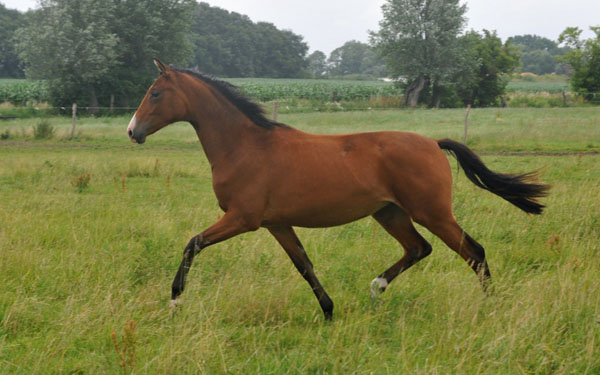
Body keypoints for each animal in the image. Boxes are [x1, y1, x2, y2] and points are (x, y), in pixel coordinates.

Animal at [126, 58, 548, 320]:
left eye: (156, 93)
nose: (132, 131)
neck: (246, 146)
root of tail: (433, 143)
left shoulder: (242, 218)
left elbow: (192, 244)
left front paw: (175, 302)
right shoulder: (276, 224)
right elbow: (304, 265)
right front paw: (329, 311)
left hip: (433, 212)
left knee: (473, 252)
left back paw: (489, 308)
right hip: (390, 212)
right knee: (418, 248)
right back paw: (377, 287)